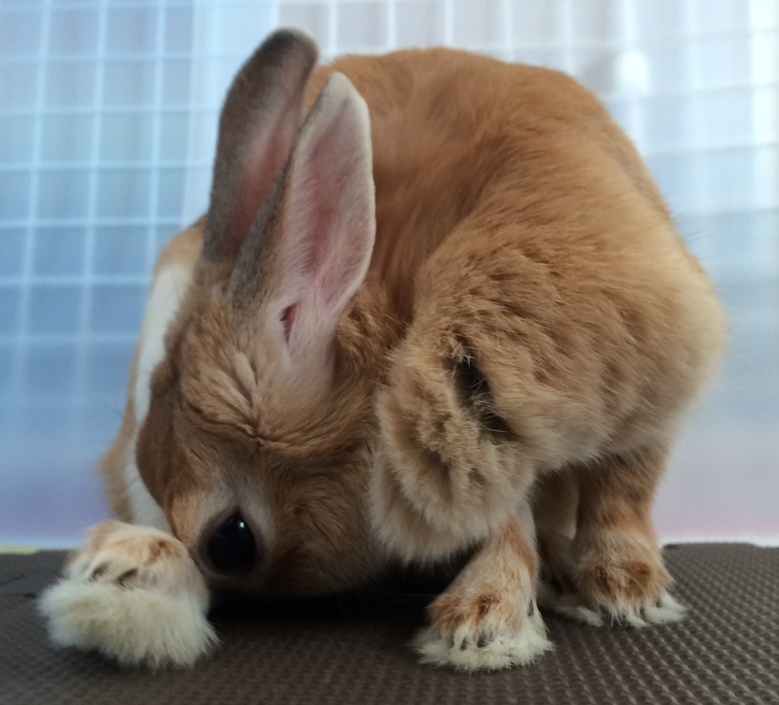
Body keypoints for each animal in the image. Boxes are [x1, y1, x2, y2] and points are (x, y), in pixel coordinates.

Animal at [41, 28, 724, 672]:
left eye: (232, 541)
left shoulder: (646, 395)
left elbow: (624, 490)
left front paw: (627, 594)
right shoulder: (482, 452)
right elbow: (505, 523)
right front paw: (482, 625)